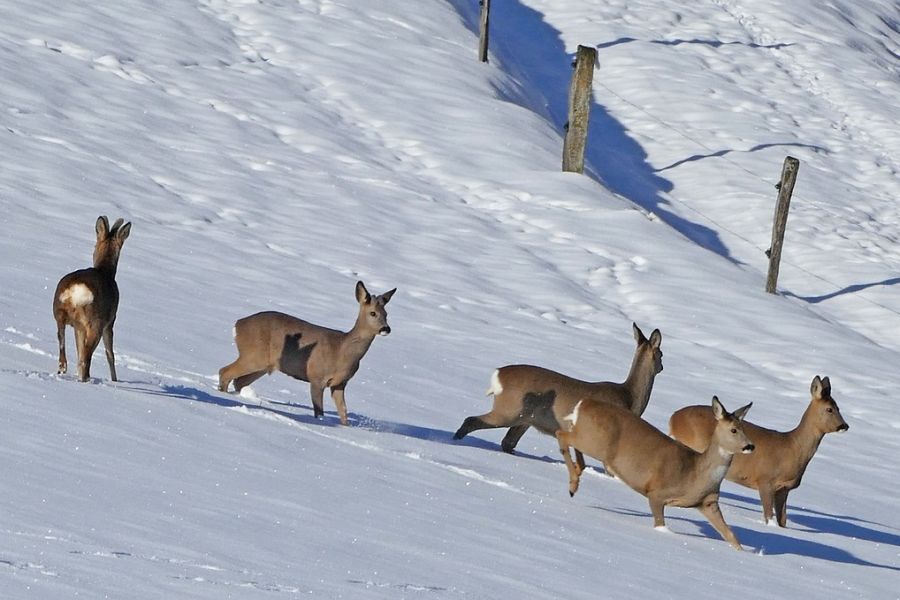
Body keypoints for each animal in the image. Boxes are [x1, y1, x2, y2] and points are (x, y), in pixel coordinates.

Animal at [53, 218, 133, 382]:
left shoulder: (78, 327)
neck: (106, 271)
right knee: (87, 357)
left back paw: (64, 371)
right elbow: (110, 353)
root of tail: (76, 291)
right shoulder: (110, 321)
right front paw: (114, 379)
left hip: (60, 313)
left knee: (65, 348)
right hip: (95, 323)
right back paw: (86, 379)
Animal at [216, 280, 396, 424]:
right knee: (225, 371)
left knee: (238, 381)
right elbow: (319, 411)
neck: (342, 350)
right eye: (373, 313)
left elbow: (344, 413)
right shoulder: (316, 377)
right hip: (253, 355)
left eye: (386, 314)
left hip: (262, 365)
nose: (386, 329)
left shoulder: (340, 384)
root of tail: (237, 325)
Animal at [450, 324, 660, 454]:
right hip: (509, 410)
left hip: (525, 418)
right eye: (662, 354)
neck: (629, 397)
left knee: (508, 442)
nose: (662, 366)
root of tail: (498, 374)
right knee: (472, 421)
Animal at [560, 396, 756, 552]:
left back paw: (576, 476)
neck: (695, 473)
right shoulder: (656, 493)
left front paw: (744, 554)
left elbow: (730, 534)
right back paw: (572, 486)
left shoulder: (708, 502)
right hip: (593, 442)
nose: (750, 446)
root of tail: (583, 404)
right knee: (561, 434)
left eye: (744, 428)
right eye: (733, 430)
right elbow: (660, 524)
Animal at [668, 378, 852, 528]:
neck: (792, 448)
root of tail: (673, 418)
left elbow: (782, 522)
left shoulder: (784, 489)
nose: (844, 426)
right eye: (829, 409)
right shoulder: (765, 480)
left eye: (838, 407)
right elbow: (768, 517)